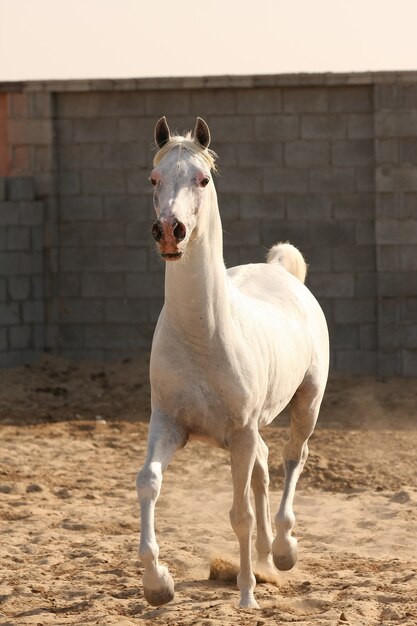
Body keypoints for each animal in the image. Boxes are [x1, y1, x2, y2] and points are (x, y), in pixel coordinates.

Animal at [137, 114, 328, 608]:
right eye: (154, 178)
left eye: (202, 179)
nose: (170, 231)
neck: (202, 337)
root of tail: (280, 269)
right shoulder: (168, 423)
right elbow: (149, 482)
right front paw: (158, 584)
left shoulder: (239, 433)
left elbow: (239, 514)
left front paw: (246, 596)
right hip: (251, 431)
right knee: (263, 469)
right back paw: (264, 555)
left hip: (306, 404)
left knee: (291, 458)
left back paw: (282, 550)